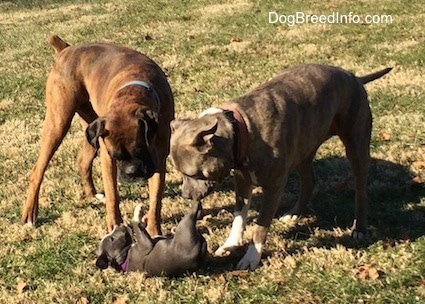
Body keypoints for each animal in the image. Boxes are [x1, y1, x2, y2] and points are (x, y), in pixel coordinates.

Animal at [21, 36, 174, 235]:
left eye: (141, 150)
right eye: (116, 156)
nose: (132, 172)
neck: (134, 87)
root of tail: (66, 49)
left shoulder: (158, 158)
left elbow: (156, 200)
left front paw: (154, 231)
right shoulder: (107, 157)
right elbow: (112, 193)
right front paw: (114, 225)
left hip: (90, 127)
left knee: (83, 160)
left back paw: (92, 194)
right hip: (58, 122)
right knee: (37, 170)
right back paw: (30, 213)